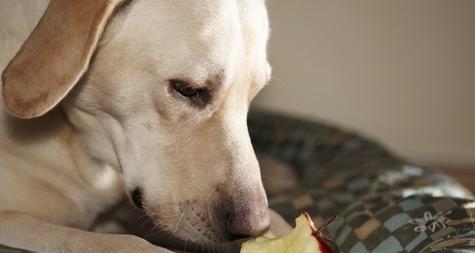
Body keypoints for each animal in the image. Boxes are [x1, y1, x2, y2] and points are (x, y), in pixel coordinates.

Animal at [0, 0, 290, 253]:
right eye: (187, 89)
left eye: (253, 94)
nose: (253, 227)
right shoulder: (16, 221)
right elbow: (103, 242)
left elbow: (279, 220)